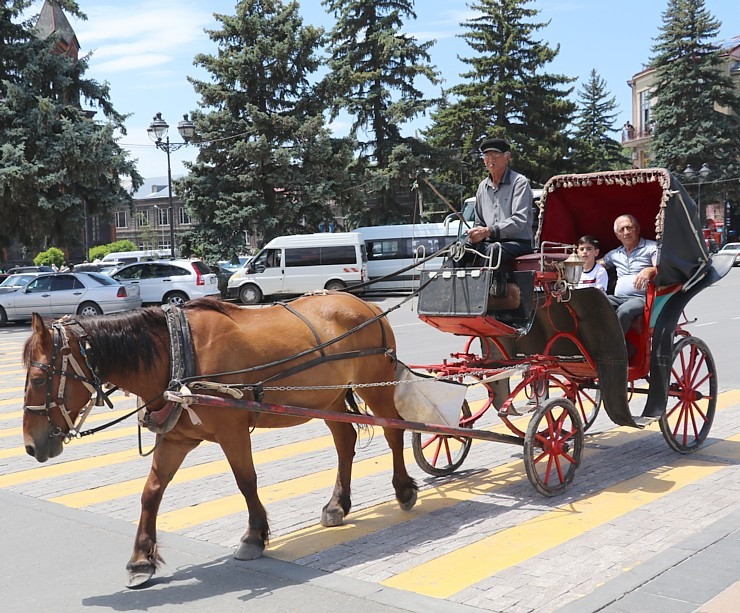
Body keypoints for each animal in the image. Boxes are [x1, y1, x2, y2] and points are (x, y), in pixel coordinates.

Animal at [21, 294, 416, 584]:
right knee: (345, 440)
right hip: (329, 400)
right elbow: (151, 492)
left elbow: (246, 481)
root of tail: (368, 305)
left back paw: (403, 489)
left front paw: (254, 536)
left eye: (38, 379)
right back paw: (337, 505)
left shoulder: (232, 431)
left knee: (394, 430)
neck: (177, 353)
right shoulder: (176, 438)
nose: (30, 445)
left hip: (375, 386)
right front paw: (140, 559)